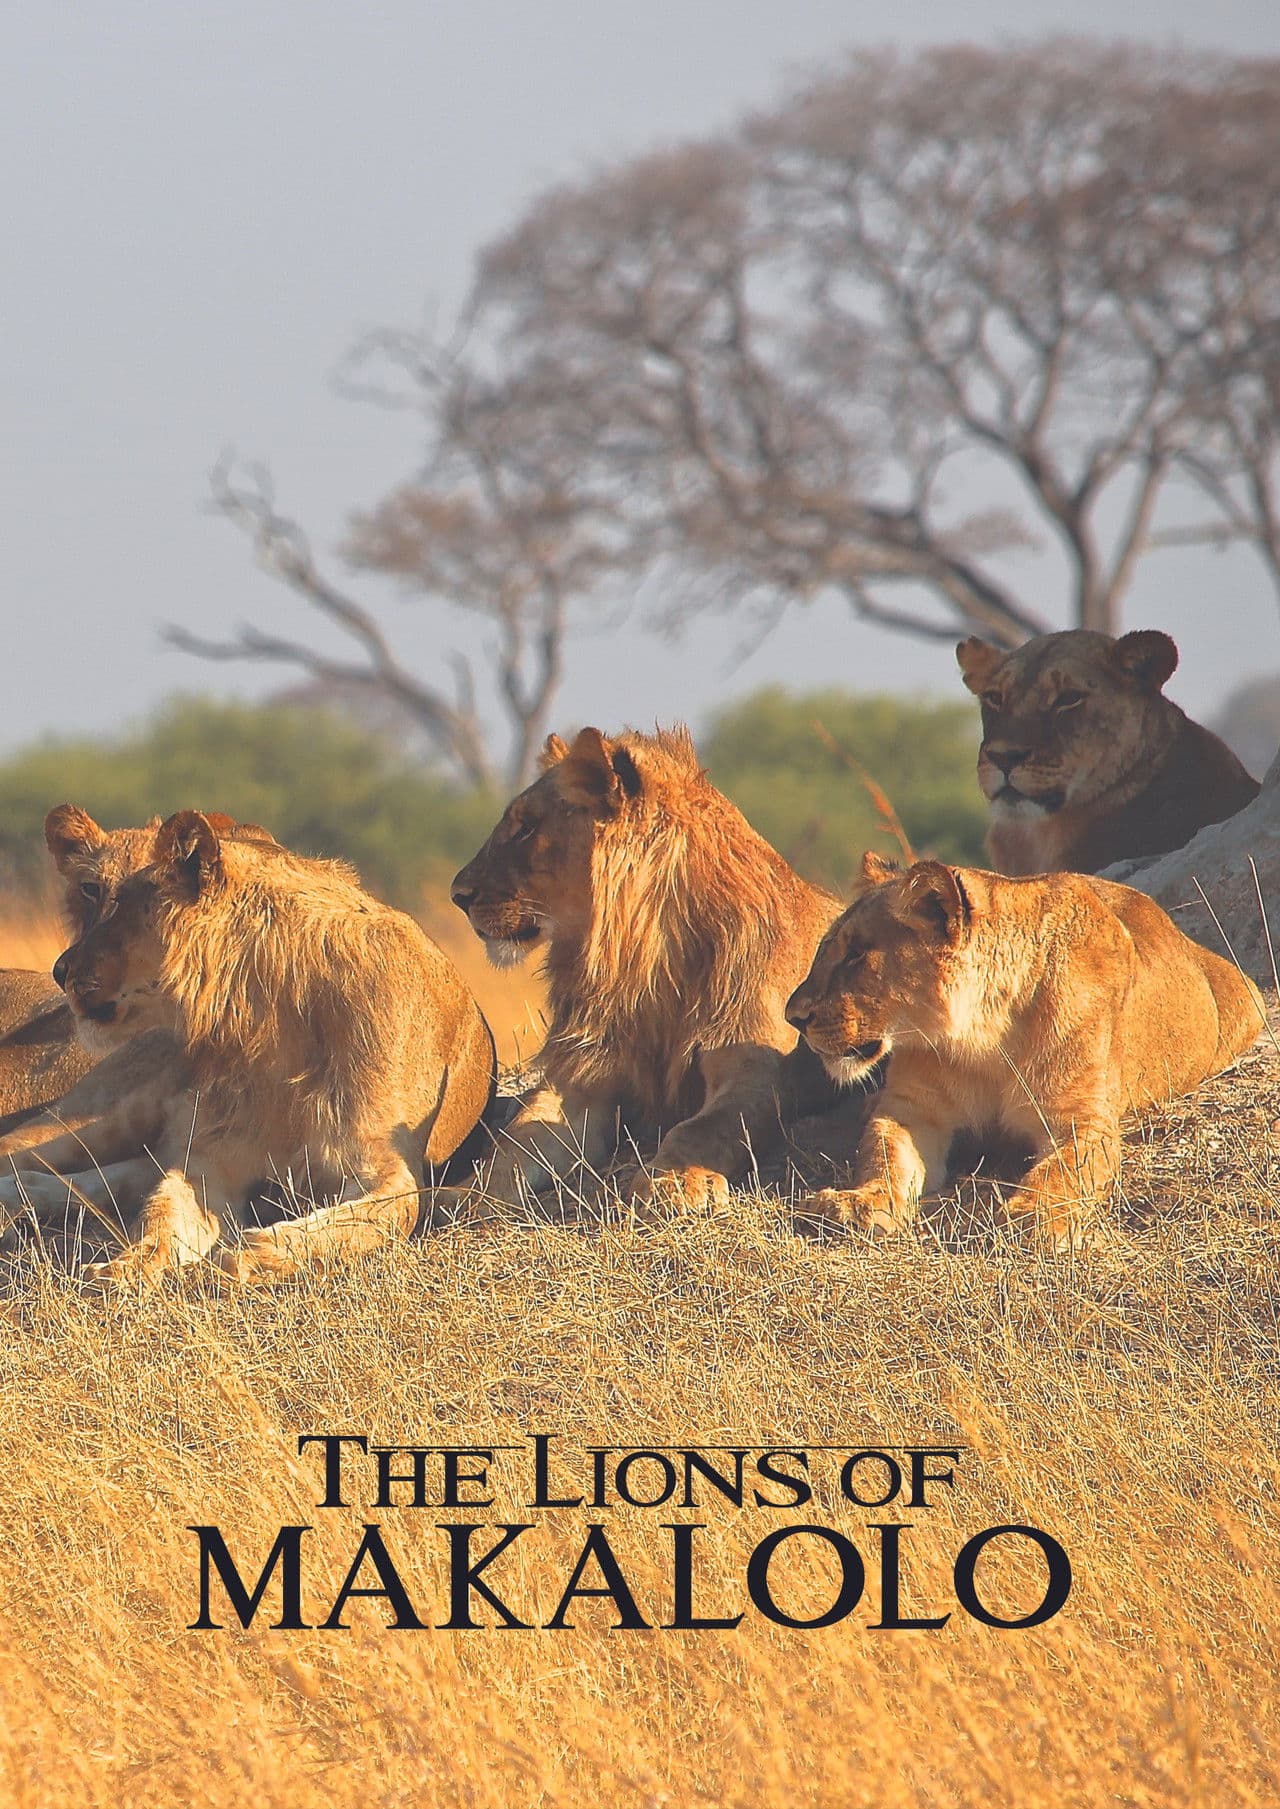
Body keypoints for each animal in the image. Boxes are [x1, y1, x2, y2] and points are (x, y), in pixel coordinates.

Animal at [8, 810, 495, 1284]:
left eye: (123, 904)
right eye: (93, 893)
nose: (59, 970)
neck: (275, 1020)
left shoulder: (391, 1167)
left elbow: (370, 1220)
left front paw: (255, 1253)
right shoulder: (214, 1156)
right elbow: (162, 1214)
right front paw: (130, 1264)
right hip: (98, 1119)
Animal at [448, 725, 843, 1212]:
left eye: (526, 827)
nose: (458, 894)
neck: (645, 961)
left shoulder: (760, 1071)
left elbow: (702, 1128)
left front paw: (673, 1182)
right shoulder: (582, 1079)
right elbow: (517, 1140)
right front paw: (463, 1195)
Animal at [784, 852, 1264, 1249]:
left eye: (856, 955)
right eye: (826, 950)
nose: (793, 1016)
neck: (983, 1039)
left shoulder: (1083, 1120)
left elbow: (1062, 1170)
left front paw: (1034, 1215)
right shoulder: (912, 1109)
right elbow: (883, 1154)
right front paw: (857, 1203)